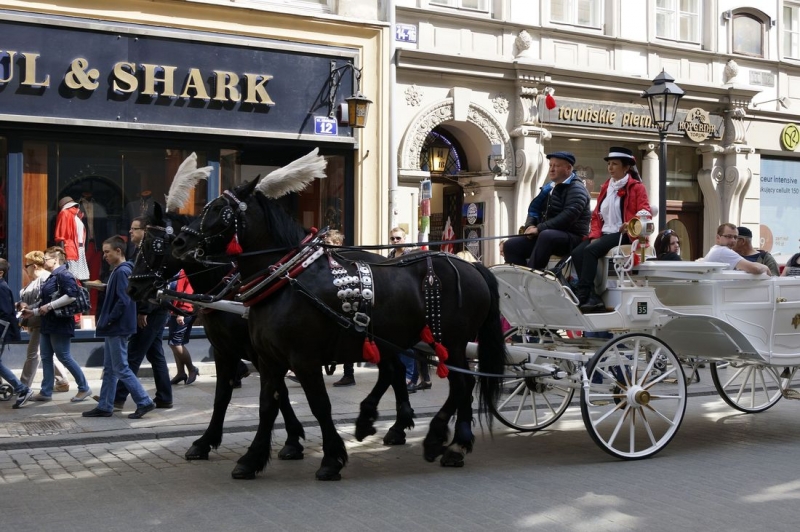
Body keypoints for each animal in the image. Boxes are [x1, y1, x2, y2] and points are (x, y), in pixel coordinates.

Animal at [170, 177, 506, 480]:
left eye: (219, 210)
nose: (180, 242)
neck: (285, 283)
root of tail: (472, 265)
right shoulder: (267, 359)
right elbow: (267, 405)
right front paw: (252, 459)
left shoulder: (303, 359)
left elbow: (320, 405)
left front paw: (331, 458)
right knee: (427, 379)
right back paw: (425, 435)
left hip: (452, 343)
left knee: (462, 385)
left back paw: (447, 442)